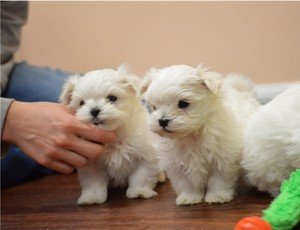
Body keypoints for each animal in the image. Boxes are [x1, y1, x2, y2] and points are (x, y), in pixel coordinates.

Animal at [59, 64, 161, 205]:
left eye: (112, 98)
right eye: (82, 103)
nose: (94, 110)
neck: (115, 133)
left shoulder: (146, 155)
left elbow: (141, 176)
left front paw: (139, 192)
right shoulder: (92, 164)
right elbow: (93, 182)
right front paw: (92, 198)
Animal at [139, 64, 258, 205]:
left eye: (183, 104)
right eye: (154, 107)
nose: (162, 121)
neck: (191, 135)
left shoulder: (223, 158)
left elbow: (218, 180)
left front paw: (217, 196)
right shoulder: (177, 164)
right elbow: (185, 183)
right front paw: (189, 197)